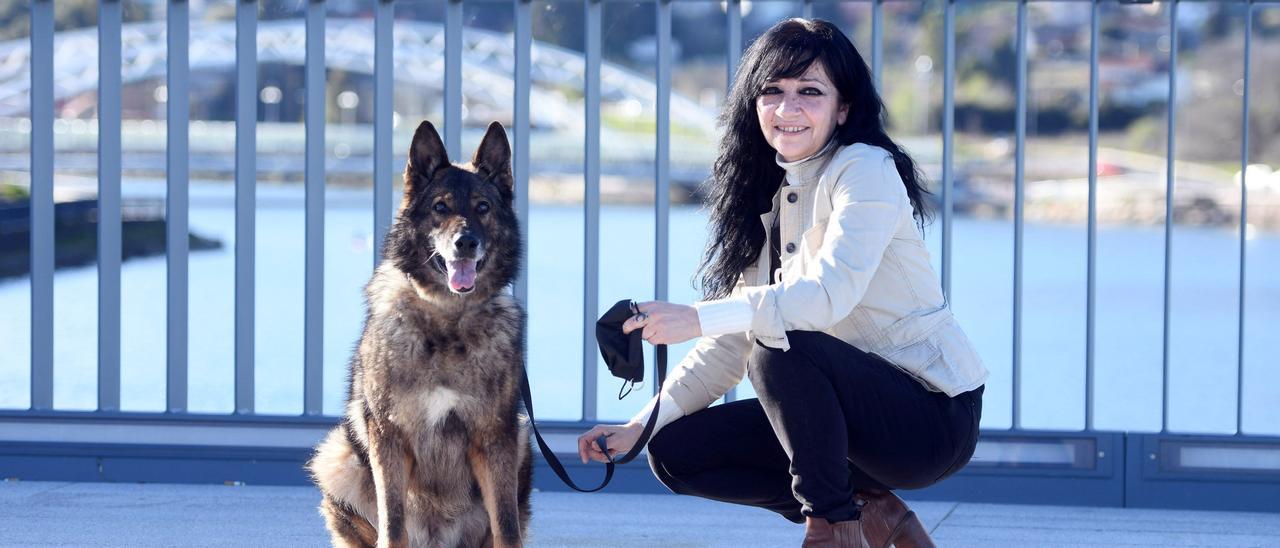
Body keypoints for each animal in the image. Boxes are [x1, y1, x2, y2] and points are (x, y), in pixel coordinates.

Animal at [307, 120, 532, 548]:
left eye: (483, 207)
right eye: (440, 207)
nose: (465, 242)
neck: (447, 322)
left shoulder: (497, 438)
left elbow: (507, 527)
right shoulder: (389, 438)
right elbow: (392, 524)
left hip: (523, 443)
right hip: (337, 455)